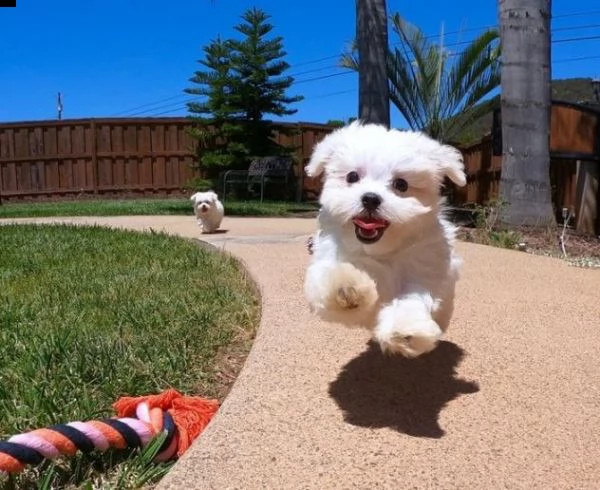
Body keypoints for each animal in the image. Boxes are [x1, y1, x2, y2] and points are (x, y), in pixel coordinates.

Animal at [304, 120, 468, 358]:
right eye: (352, 177)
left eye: (401, 184)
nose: (371, 198)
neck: (381, 250)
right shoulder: (327, 258)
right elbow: (332, 280)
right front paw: (347, 287)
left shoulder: (422, 270)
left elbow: (413, 297)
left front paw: (406, 330)